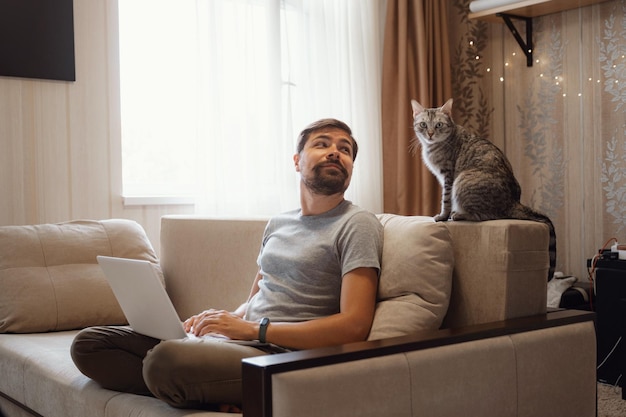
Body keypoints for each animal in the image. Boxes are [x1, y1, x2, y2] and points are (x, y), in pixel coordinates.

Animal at [410, 98, 556, 280]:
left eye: (438, 125)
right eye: (423, 124)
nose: (430, 133)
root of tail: (514, 202)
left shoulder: (448, 177)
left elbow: (445, 200)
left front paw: (443, 216)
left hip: (463, 181)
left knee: (486, 215)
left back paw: (459, 214)